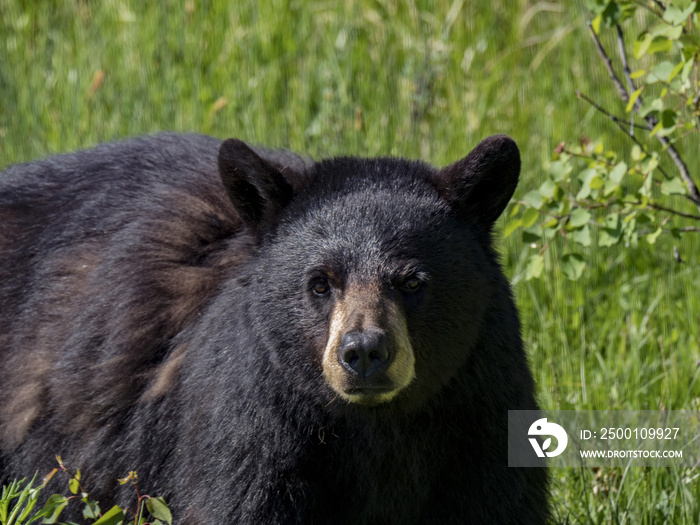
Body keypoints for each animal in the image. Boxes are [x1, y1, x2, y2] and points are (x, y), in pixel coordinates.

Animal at [0, 133, 548, 520]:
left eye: (412, 280)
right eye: (320, 282)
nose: (364, 351)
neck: (376, 427)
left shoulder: (479, 406)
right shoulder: (253, 414)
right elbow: (243, 499)